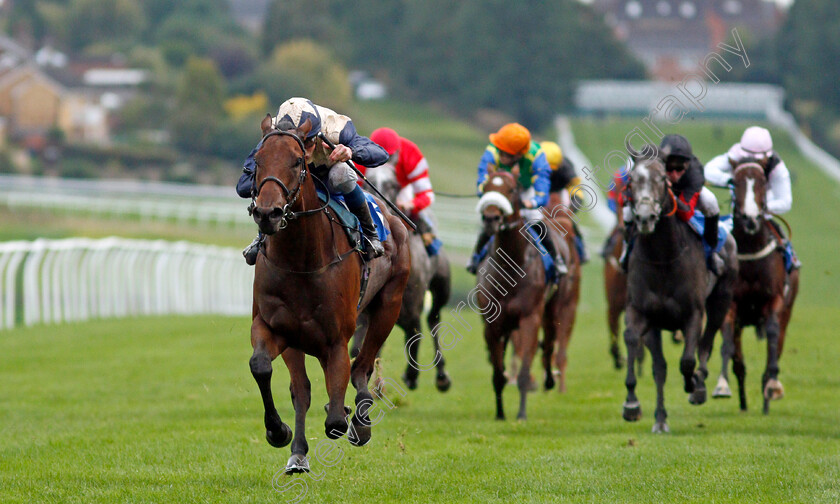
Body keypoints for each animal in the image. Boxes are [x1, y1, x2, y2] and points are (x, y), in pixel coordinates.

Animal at [246, 116, 410, 474]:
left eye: (297, 161)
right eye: (257, 162)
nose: (267, 213)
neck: (301, 261)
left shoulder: (335, 339)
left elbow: (335, 419)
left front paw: (346, 418)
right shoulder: (276, 328)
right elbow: (265, 369)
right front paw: (280, 434)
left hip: (389, 306)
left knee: (361, 366)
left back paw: (360, 422)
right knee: (307, 388)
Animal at [350, 163, 450, 392]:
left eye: (392, 184)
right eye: (369, 179)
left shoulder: (412, 309)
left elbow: (415, 335)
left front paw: (411, 376)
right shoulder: (364, 312)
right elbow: (359, 348)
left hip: (442, 287)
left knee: (434, 319)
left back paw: (441, 375)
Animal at [476, 171, 576, 420]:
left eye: (512, 189)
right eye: (486, 187)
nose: (491, 219)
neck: (510, 267)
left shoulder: (530, 317)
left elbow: (524, 370)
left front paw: (521, 414)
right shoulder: (492, 324)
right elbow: (497, 374)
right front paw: (500, 414)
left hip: (554, 309)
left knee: (549, 345)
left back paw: (550, 380)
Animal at [620, 151, 740, 434]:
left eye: (662, 179)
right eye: (632, 181)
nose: (644, 218)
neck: (663, 257)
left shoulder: (692, 313)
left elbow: (687, 360)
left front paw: (693, 383)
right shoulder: (642, 312)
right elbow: (635, 342)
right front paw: (633, 405)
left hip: (721, 300)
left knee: (706, 343)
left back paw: (700, 386)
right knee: (664, 365)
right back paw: (661, 417)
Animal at [716, 161, 800, 414]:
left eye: (763, 182)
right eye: (735, 182)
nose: (751, 219)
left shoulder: (774, 300)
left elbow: (772, 334)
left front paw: (772, 386)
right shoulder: (732, 304)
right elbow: (727, 343)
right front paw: (722, 385)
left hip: (787, 311)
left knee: (777, 344)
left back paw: (766, 398)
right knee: (739, 363)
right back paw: (744, 404)